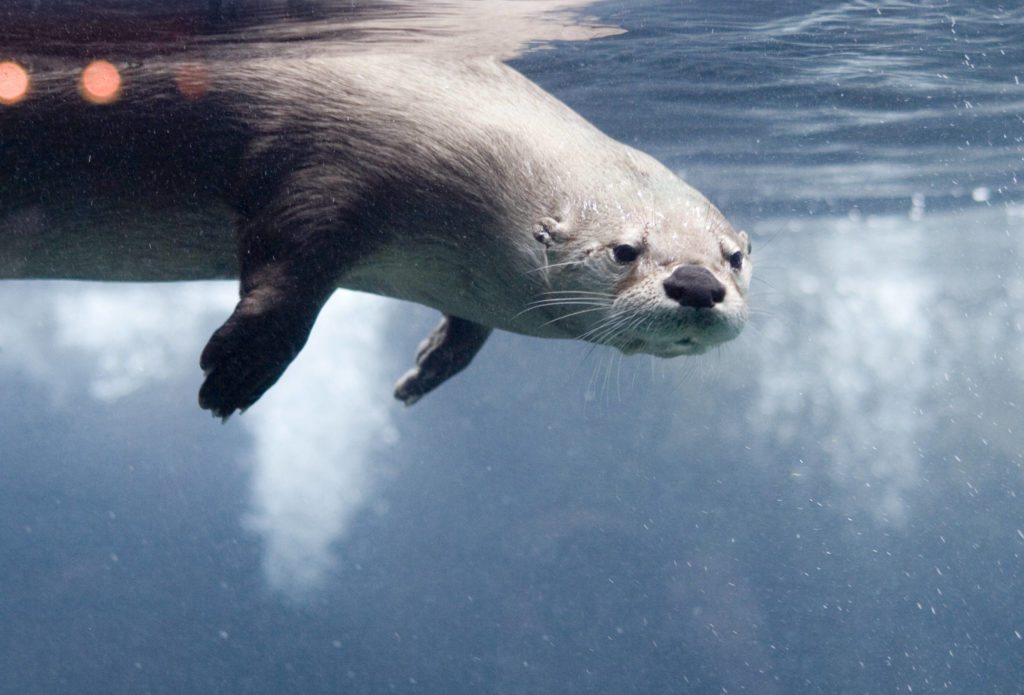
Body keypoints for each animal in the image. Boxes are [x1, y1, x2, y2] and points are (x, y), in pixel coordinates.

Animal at [0, 53, 751, 417]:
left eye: (735, 256)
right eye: (625, 251)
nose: (697, 285)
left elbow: (467, 329)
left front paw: (424, 370)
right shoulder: (328, 170)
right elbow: (287, 279)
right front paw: (235, 371)